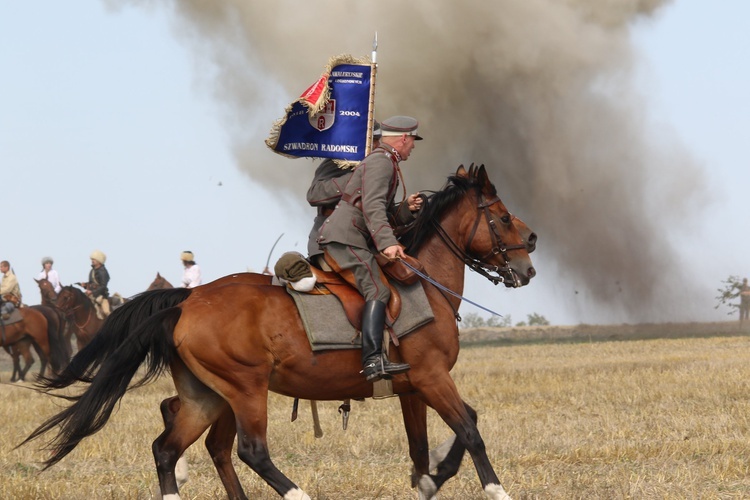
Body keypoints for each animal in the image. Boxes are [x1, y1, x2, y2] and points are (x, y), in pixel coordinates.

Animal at [26, 165, 536, 500]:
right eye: (502, 216)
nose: (529, 263)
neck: (423, 281)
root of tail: (187, 300)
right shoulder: (431, 378)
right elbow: (470, 429)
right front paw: (496, 490)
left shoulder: (415, 386)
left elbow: (426, 445)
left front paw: (431, 478)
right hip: (245, 389)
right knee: (249, 451)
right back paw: (298, 495)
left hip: (207, 396)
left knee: (170, 447)